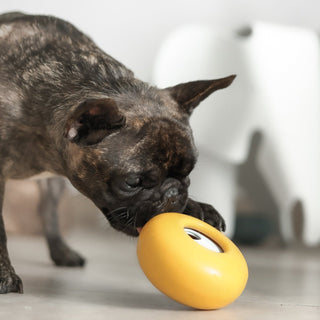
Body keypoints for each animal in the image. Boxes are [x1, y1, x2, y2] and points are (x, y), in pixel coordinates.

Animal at [0, 11, 235, 292]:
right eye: (132, 182)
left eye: (188, 173)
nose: (172, 194)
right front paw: (4, 274)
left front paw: (197, 207)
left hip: (53, 185)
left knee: (48, 212)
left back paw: (62, 252)